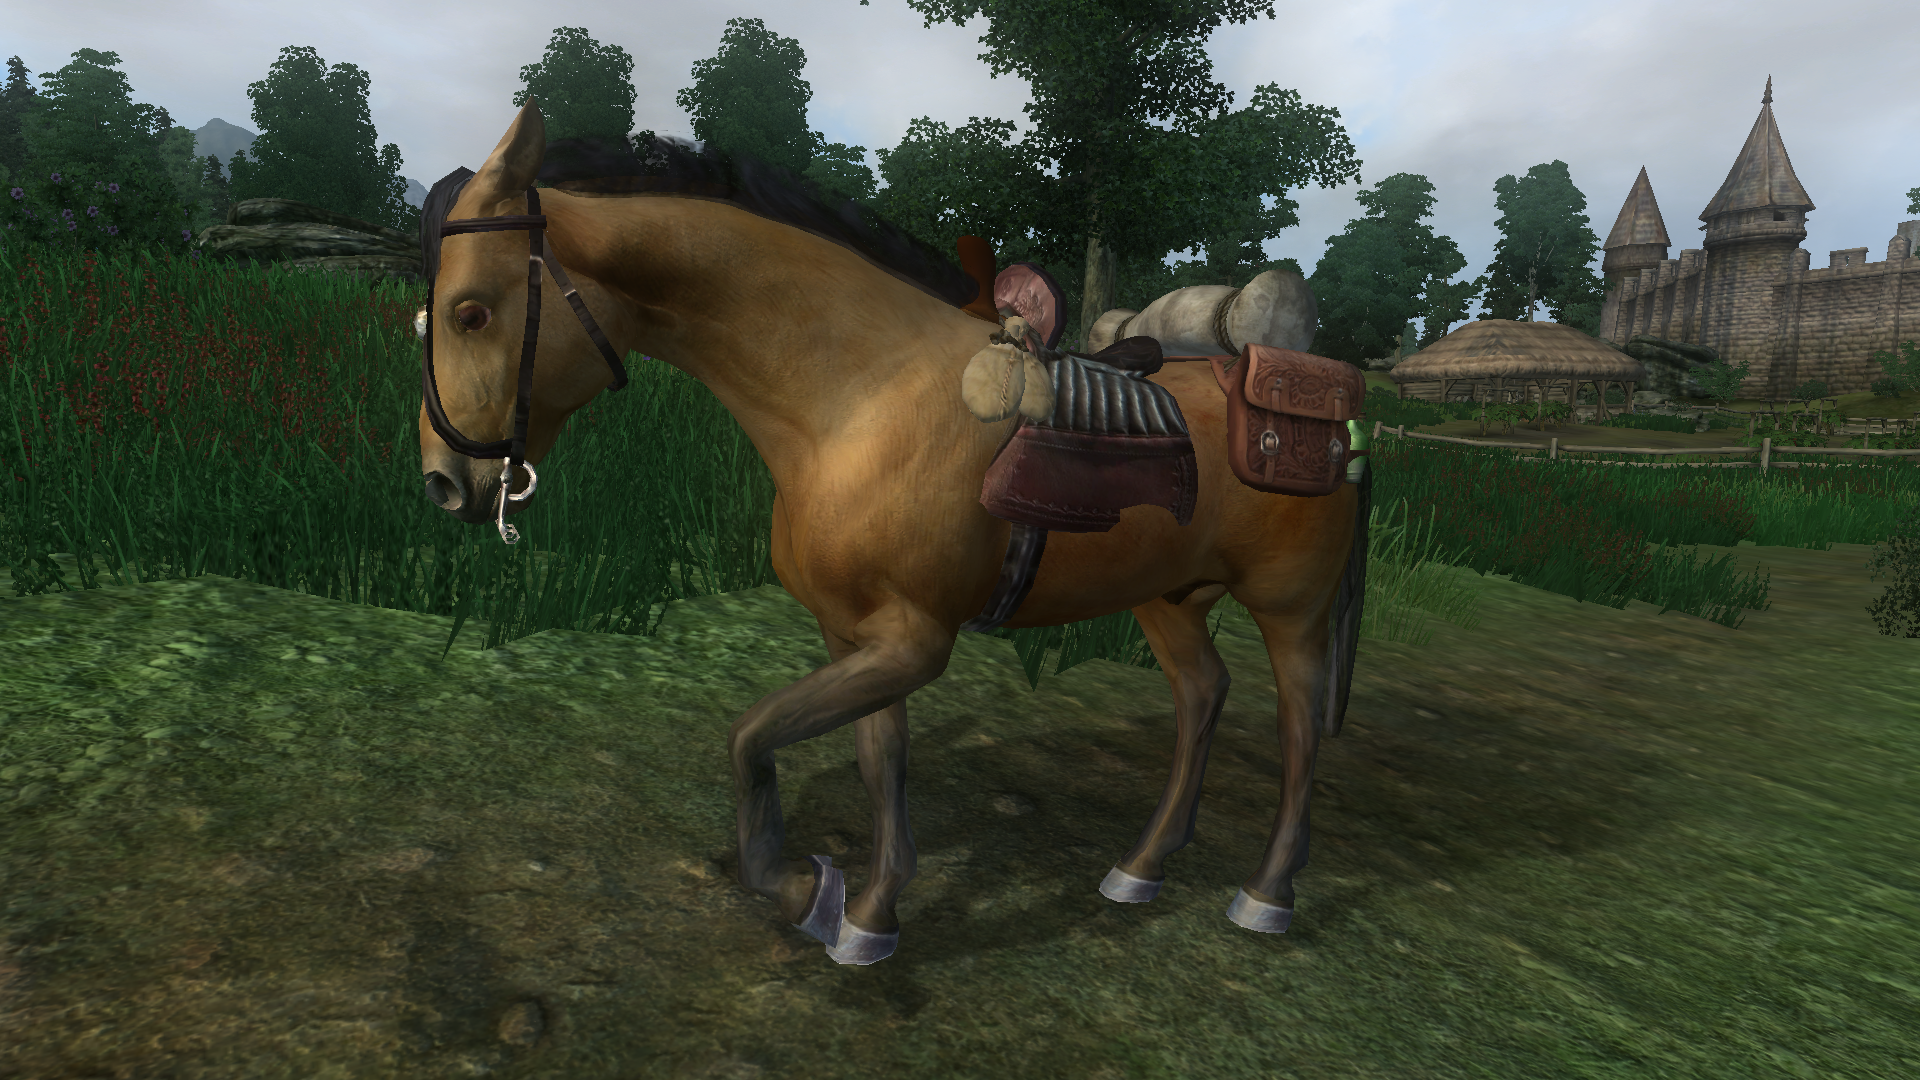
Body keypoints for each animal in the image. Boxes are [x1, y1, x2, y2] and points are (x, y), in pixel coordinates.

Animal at [417, 103, 1368, 966]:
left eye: (471, 313)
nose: (444, 482)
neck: (855, 395)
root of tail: (1340, 411)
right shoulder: (857, 634)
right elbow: (879, 764)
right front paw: (868, 915)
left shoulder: (913, 641)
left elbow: (750, 736)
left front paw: (806, 886)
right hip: (1167, 598)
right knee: (1203, 694)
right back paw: (1140, 867)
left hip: (1289, 607)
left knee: (1295, 728)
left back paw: (1267, 894)